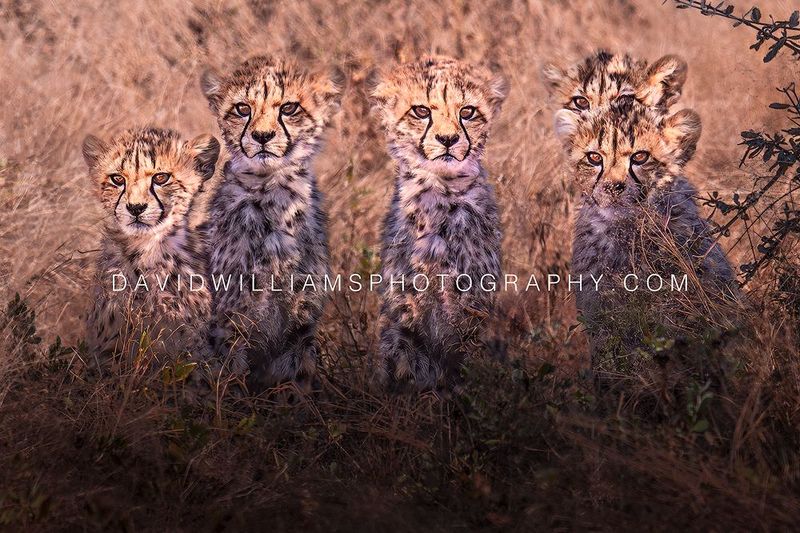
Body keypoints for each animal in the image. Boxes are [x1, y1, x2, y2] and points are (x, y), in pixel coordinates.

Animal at [371, 56, 509, 391]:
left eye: (467, 112)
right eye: (421, 111)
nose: (448, 140)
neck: (440, 194)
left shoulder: (472, 301)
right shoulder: (403, 308)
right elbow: (404, 362)